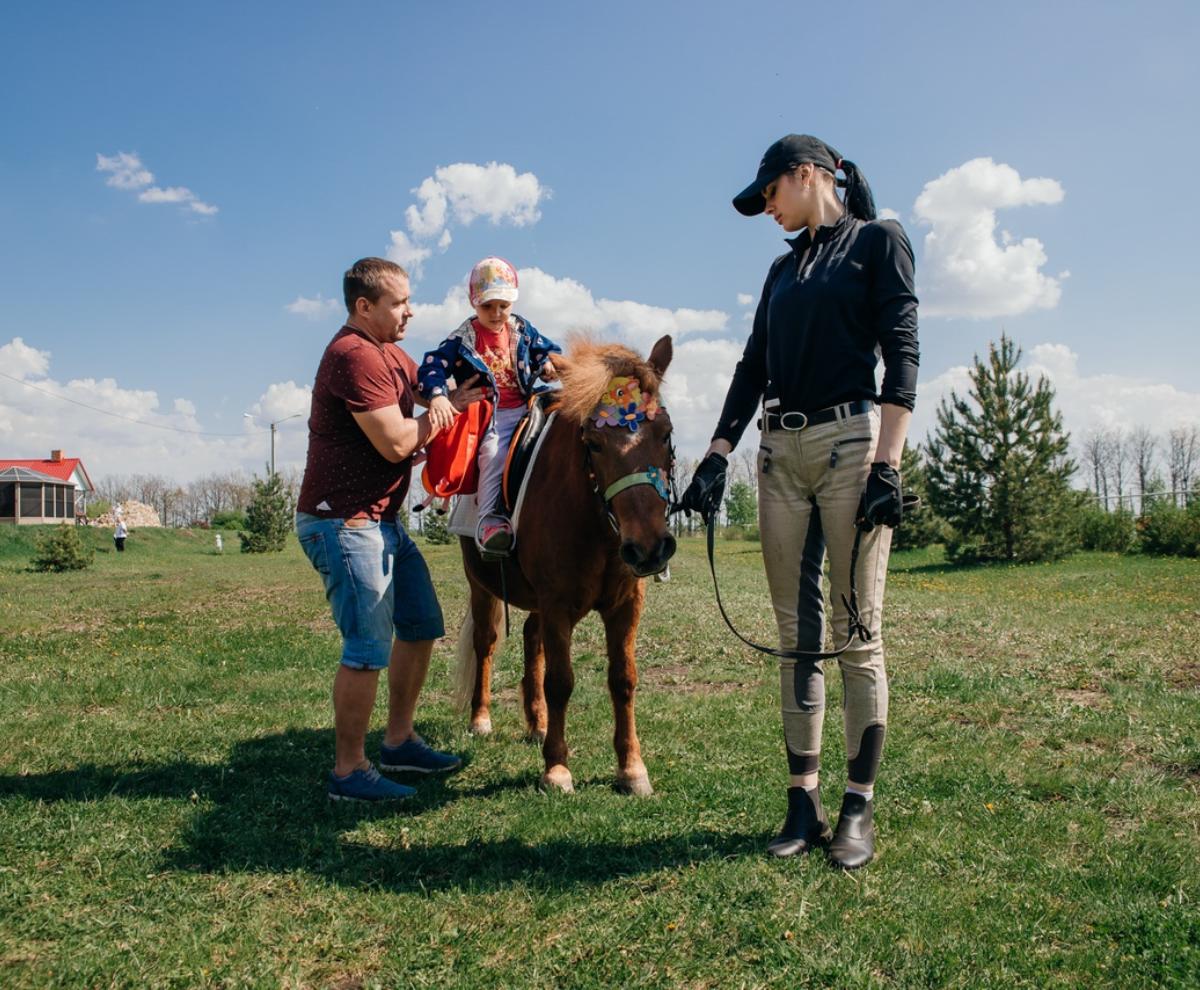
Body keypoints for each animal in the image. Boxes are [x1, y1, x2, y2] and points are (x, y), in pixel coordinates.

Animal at [451, 336, 676, 792]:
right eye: (593, 442)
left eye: (665, 433)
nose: (649, 548)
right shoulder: (556, 603)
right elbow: (560, 682)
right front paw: (556, 768)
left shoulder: (625, 605)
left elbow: (623, 679)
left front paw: (632, 768)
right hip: (481, 587)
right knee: (486, 642)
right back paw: (481, 719)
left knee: (530, 639)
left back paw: (536, 723)